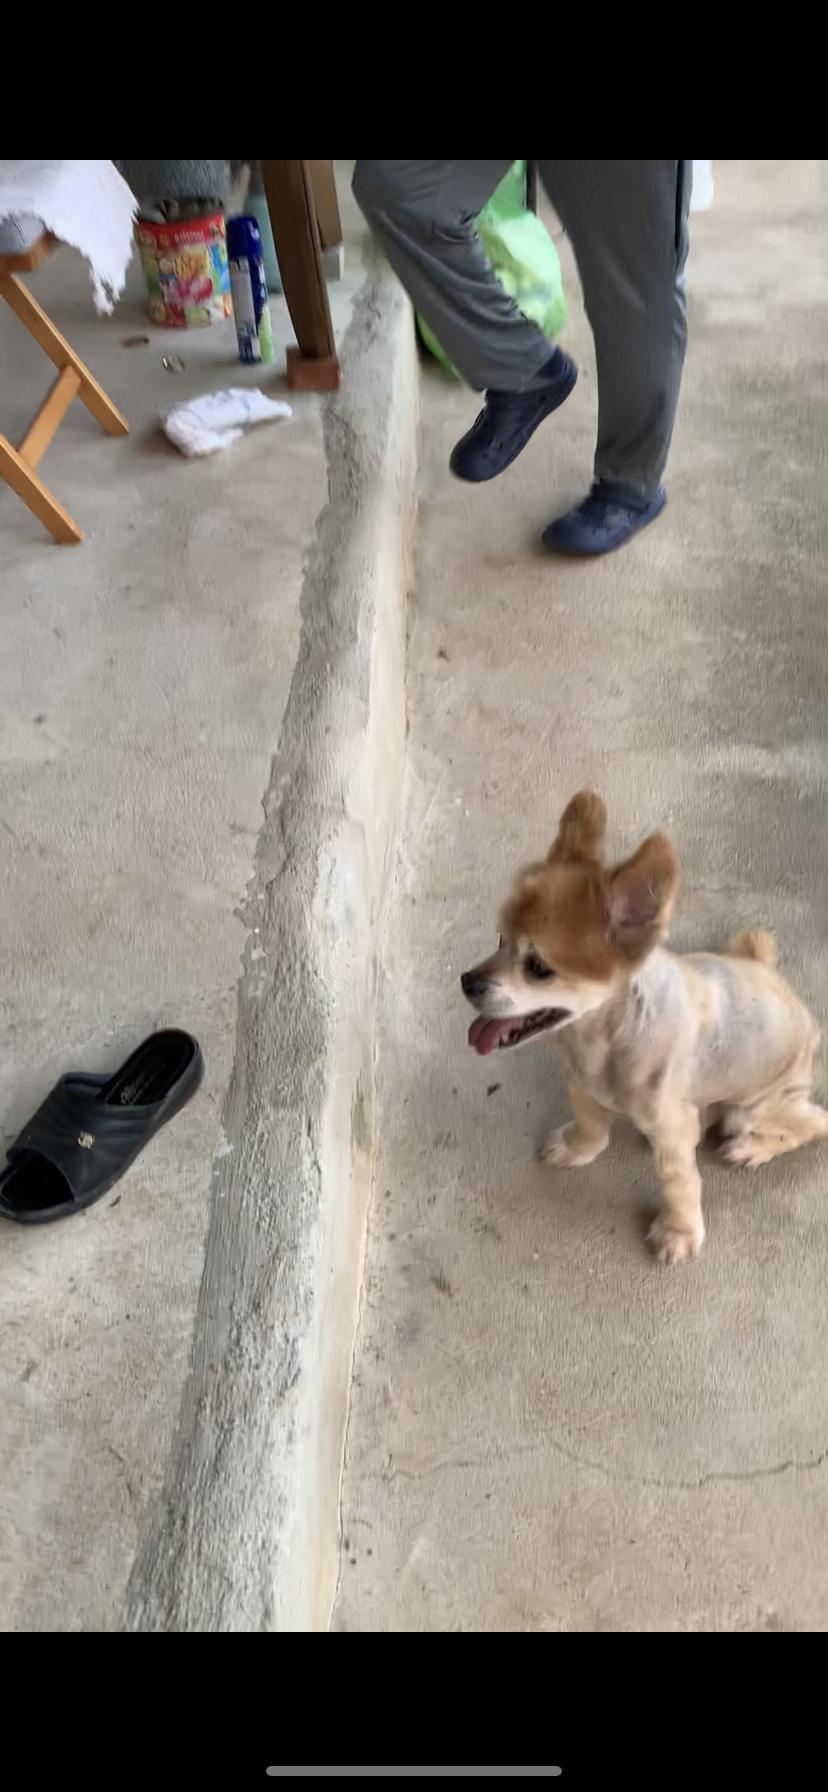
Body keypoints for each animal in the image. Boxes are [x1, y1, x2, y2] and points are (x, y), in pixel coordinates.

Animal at [461, 790, 827, 1264]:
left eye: (538, 968)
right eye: (500, 940)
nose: (466, 981)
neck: (601, 1042)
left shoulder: (671, 1128)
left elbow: (680, 1183)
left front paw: (678, 1231)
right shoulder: (581, 1085)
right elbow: (591, 1125)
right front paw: (579, 1148)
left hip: (757, 1106)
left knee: (813, 1123)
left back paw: (753, 1147)